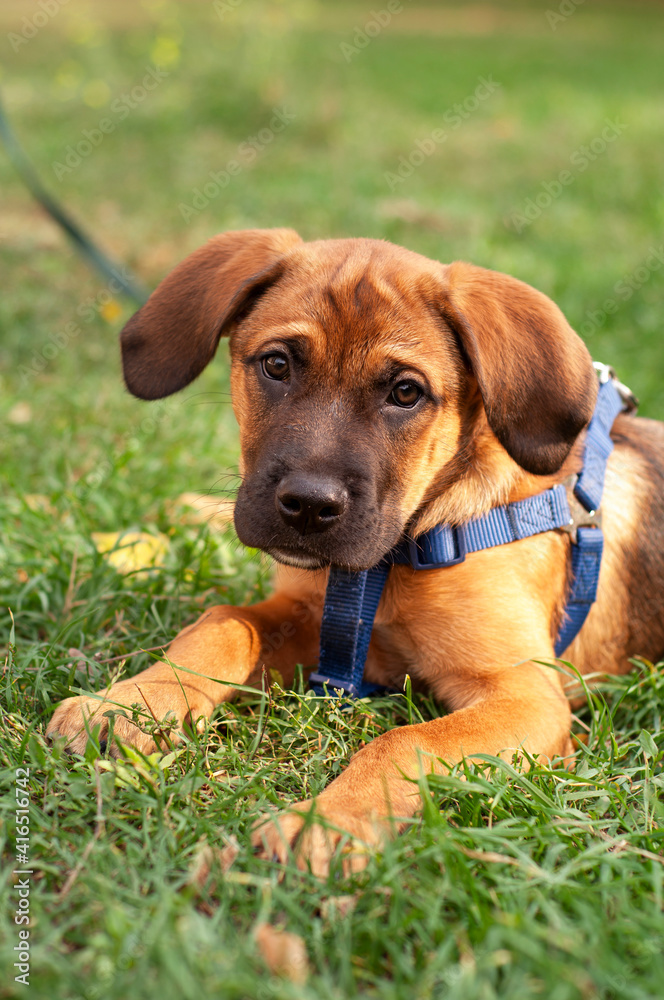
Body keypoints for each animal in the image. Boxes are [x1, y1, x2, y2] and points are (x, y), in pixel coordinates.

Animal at [49, 229, 664, 876]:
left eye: (405, 392)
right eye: (277, 364)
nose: (308, 506)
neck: (392, 561)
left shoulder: (528, 694)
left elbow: (407, 739)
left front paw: (328, 819)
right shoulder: (313, 621)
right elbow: (224, 623)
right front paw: (131, 703)